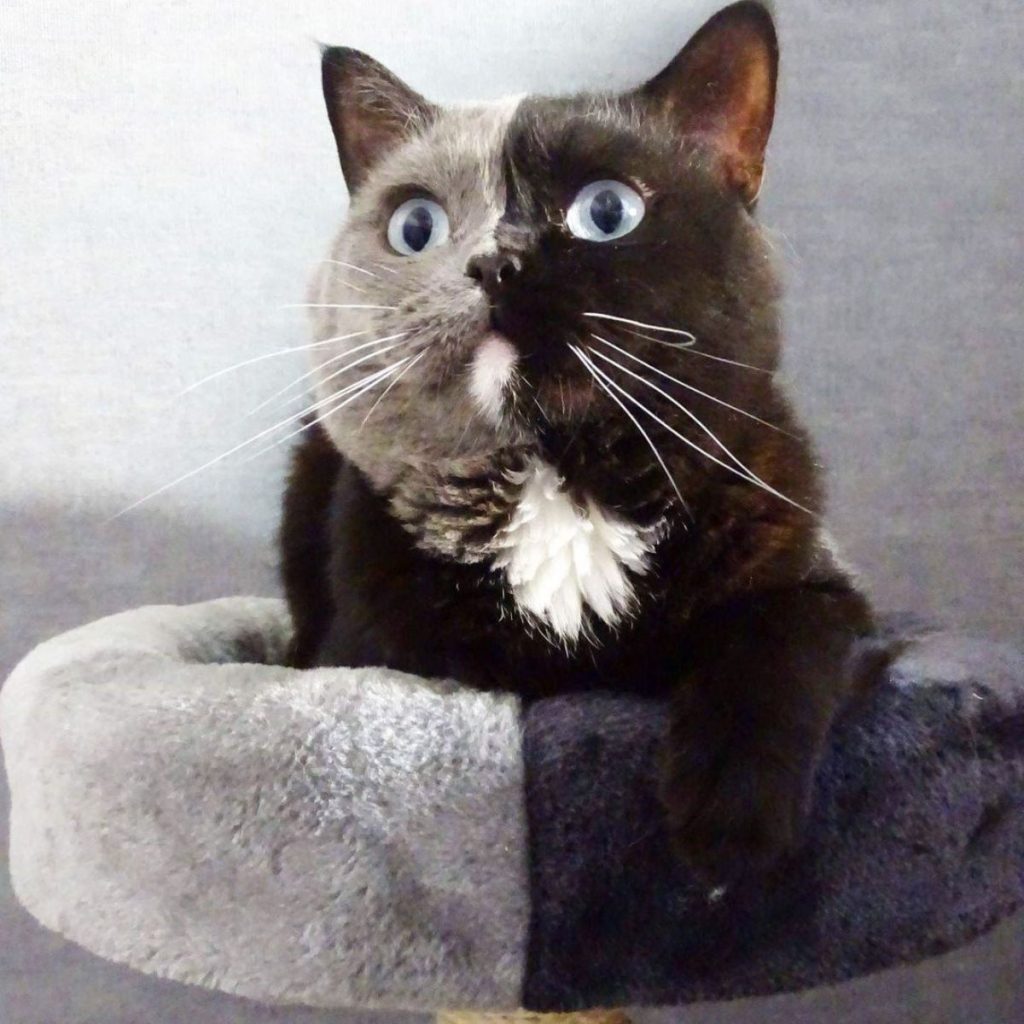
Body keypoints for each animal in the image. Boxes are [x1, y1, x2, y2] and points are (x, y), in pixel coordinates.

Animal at [282, 0, 888, 884]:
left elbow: (781, 637)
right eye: (417, 226)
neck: (556, 479)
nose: (493, 262)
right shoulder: (366, 648)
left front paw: (730, 823)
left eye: (606, 212)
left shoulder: (825, 584)